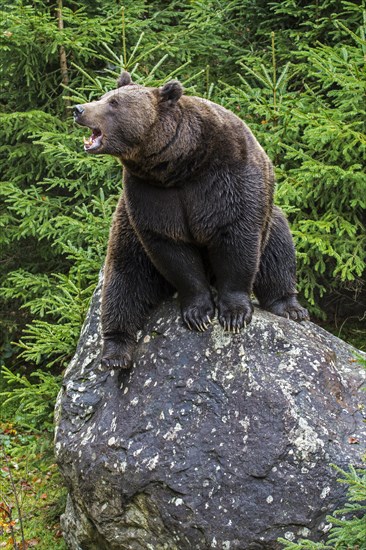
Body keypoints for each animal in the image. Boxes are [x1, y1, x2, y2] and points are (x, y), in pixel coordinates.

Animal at [73, 71, 308, 368]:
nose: (78, 109)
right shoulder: (150, 194)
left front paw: (234, 314)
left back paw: (289, 307)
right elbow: (172, 249)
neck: (178, 164)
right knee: (122, 281)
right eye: (103, 97)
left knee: (279, 250)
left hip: (272, 215)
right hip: (126, 234)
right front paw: (198, 313)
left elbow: (237, 237)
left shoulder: (228, 179)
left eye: (113, 103)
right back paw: (116, 352)